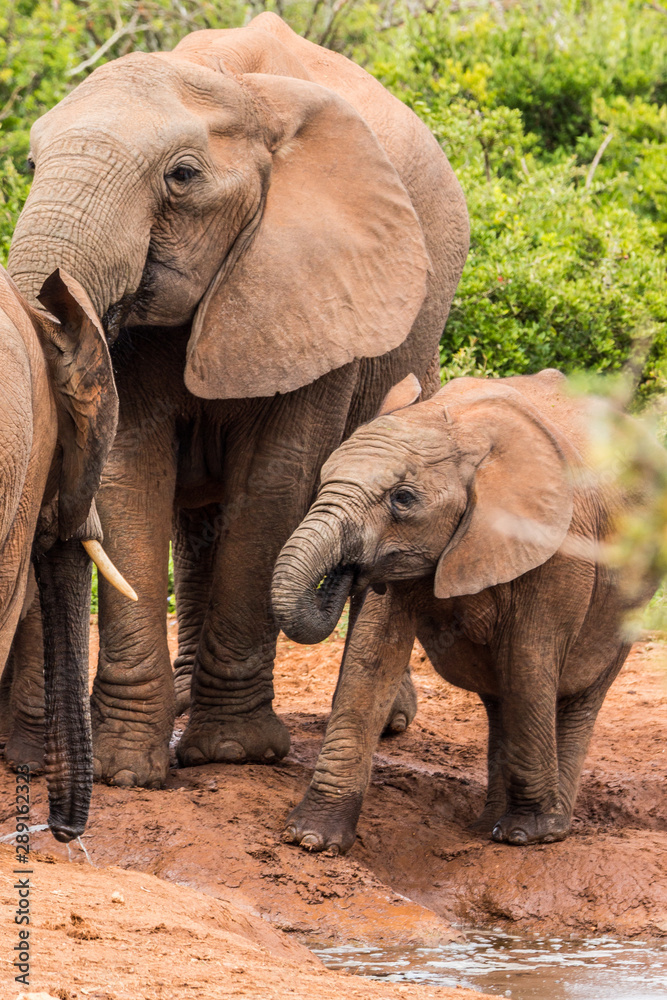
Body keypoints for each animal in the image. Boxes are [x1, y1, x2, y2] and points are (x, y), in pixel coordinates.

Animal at [7, 12, 469, 788]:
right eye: (32, 166)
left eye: (182, 176)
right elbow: (131, 474)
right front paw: (127, 771)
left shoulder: (319, 286)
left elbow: (275, 479)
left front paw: (234, 754)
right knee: (199, 524)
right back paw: (183, 700)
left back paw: (388, 721)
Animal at [272, 369, 664, 853]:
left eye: (403, 499)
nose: (350, 571)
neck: (457, 427)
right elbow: (371, 660)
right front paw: (311, 839)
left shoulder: (558, 551)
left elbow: (528, 661)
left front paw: (528, 835)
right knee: (500, 697)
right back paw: (487, 826)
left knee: (574, 692)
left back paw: (550, 827)